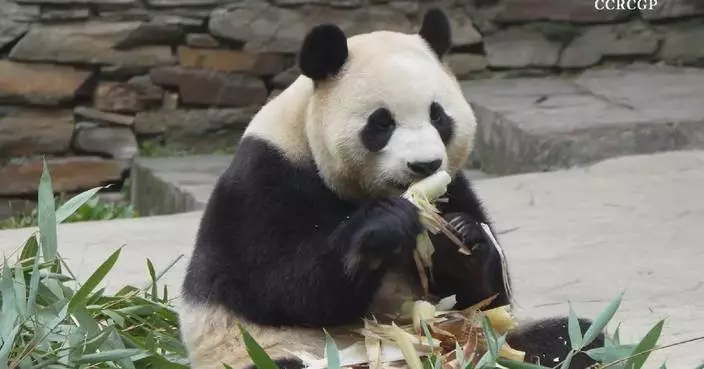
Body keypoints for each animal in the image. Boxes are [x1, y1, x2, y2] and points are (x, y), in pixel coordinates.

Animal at [179, 8, 604, 368]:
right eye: (381, 123)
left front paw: (461, 237)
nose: (424, 165)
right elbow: (275, 285)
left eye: (438, 116)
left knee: (571, 338)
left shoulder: (456, 185)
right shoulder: (265, 178)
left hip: (493, 344)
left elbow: (486, 299)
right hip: (270, 351)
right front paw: (384, 227)